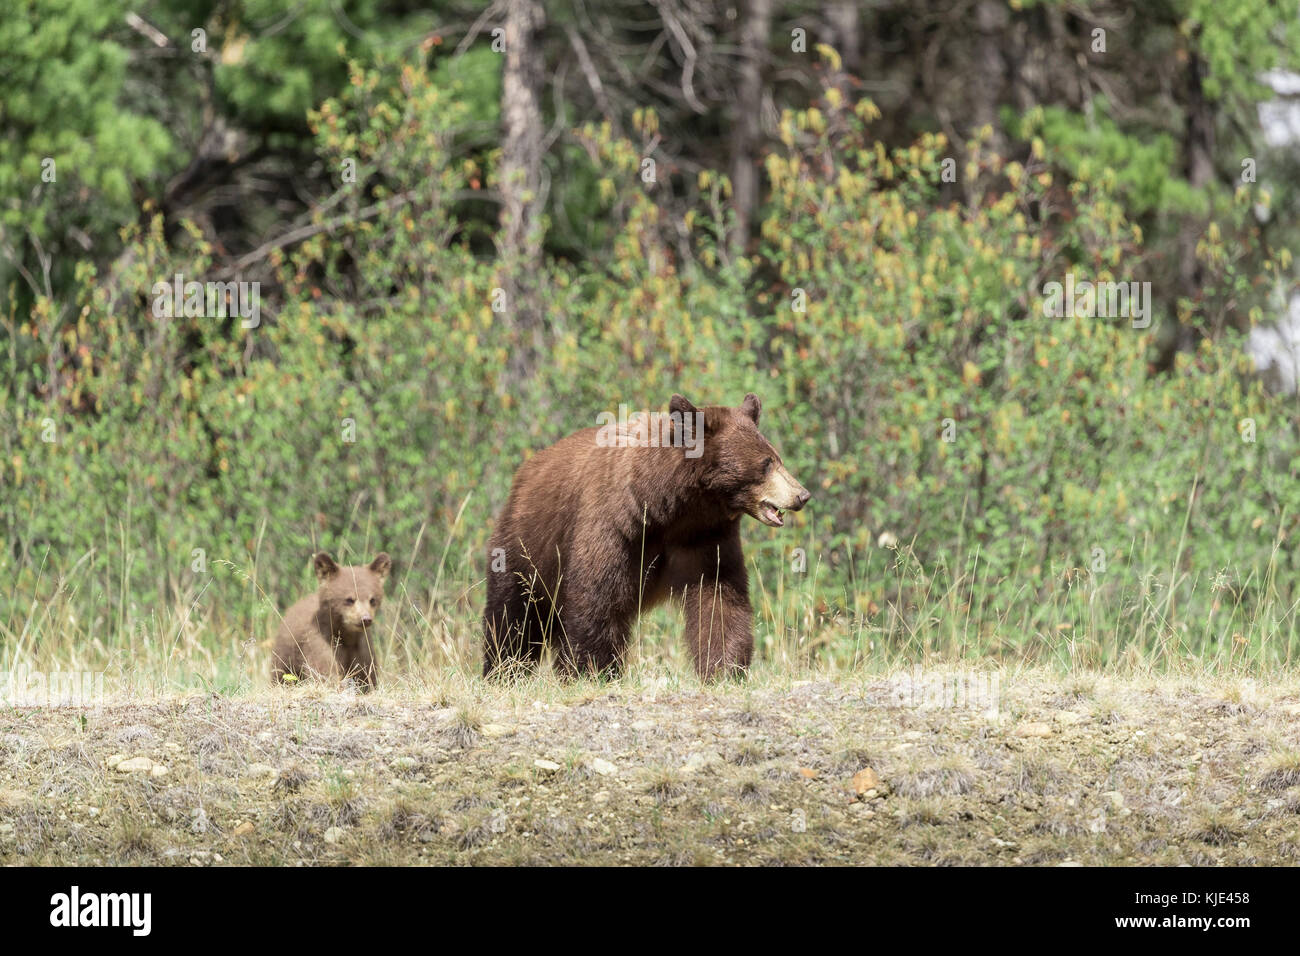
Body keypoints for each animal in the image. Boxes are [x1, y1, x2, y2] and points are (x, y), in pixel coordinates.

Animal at [271, 552, 391, 691]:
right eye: (349, 599)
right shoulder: (320, 641)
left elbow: (367, 676)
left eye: (372, 600)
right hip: (284, 655)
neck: (347, 637)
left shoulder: (363, 648)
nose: (365, 619)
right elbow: (323, 672)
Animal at [483, 393, 810, 681]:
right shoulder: (614, 526)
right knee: (515, 613)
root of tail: (526, 470)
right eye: (767, 463)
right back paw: (502, 671)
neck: (670, 508)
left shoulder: (706, 537)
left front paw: (725, 669)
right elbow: (597, 596)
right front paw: (591, 670)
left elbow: (720, 597)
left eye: (776, 458)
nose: (802, 495)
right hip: (526, 545)